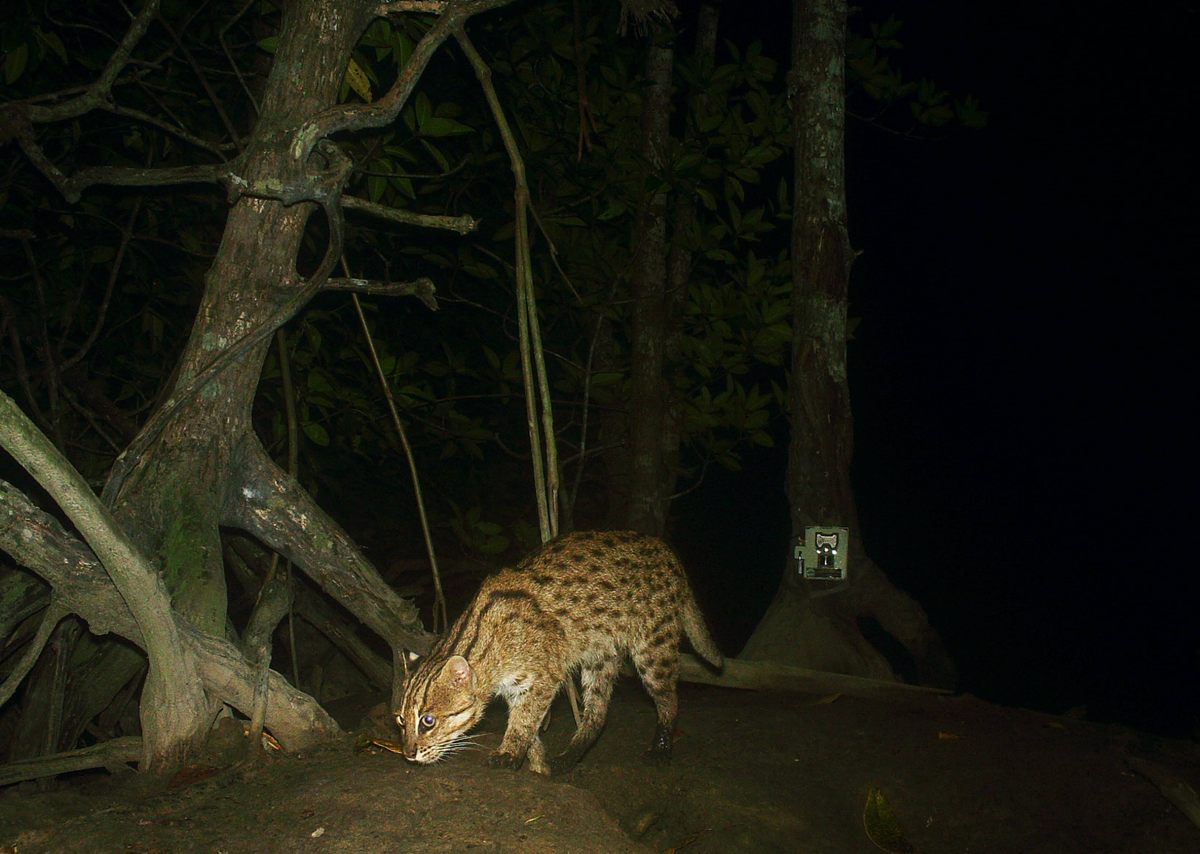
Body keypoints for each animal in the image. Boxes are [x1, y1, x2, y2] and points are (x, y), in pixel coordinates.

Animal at [398, 527, 724, 772]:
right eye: (401, 721)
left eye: (428, 721)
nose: (408, 753)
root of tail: (666, 550)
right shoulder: (519, 686)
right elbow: (530, 728)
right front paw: (538, 765)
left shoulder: (544, 674)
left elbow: (524, 720)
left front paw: (509, 753)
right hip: (599, 654)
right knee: (598, 713)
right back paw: (570, 757)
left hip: (653, 647)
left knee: (669, 699)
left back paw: (661, 747)